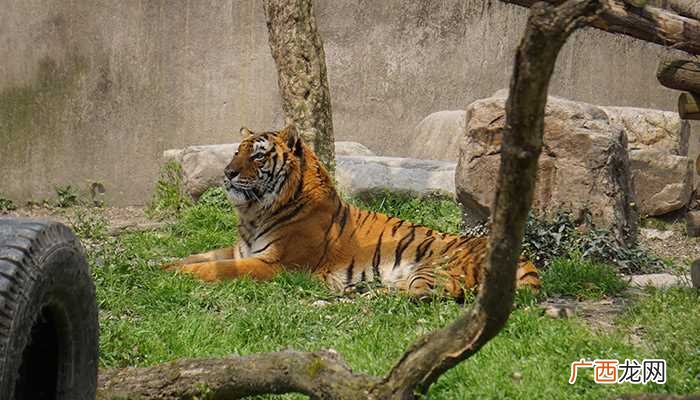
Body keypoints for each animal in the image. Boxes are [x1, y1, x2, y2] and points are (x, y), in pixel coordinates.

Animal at [163, 125, 540, 299]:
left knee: (419, 295)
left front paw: (174, 275)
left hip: (435, 269)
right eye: (236, 151)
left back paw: (358, 293)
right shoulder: (240, 249)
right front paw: (157, 264)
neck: (254, 213)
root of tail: (527, 263)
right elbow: (198, 256)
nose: (227, 172)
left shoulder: (275, 264)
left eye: (257, 155)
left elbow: (218, 270)